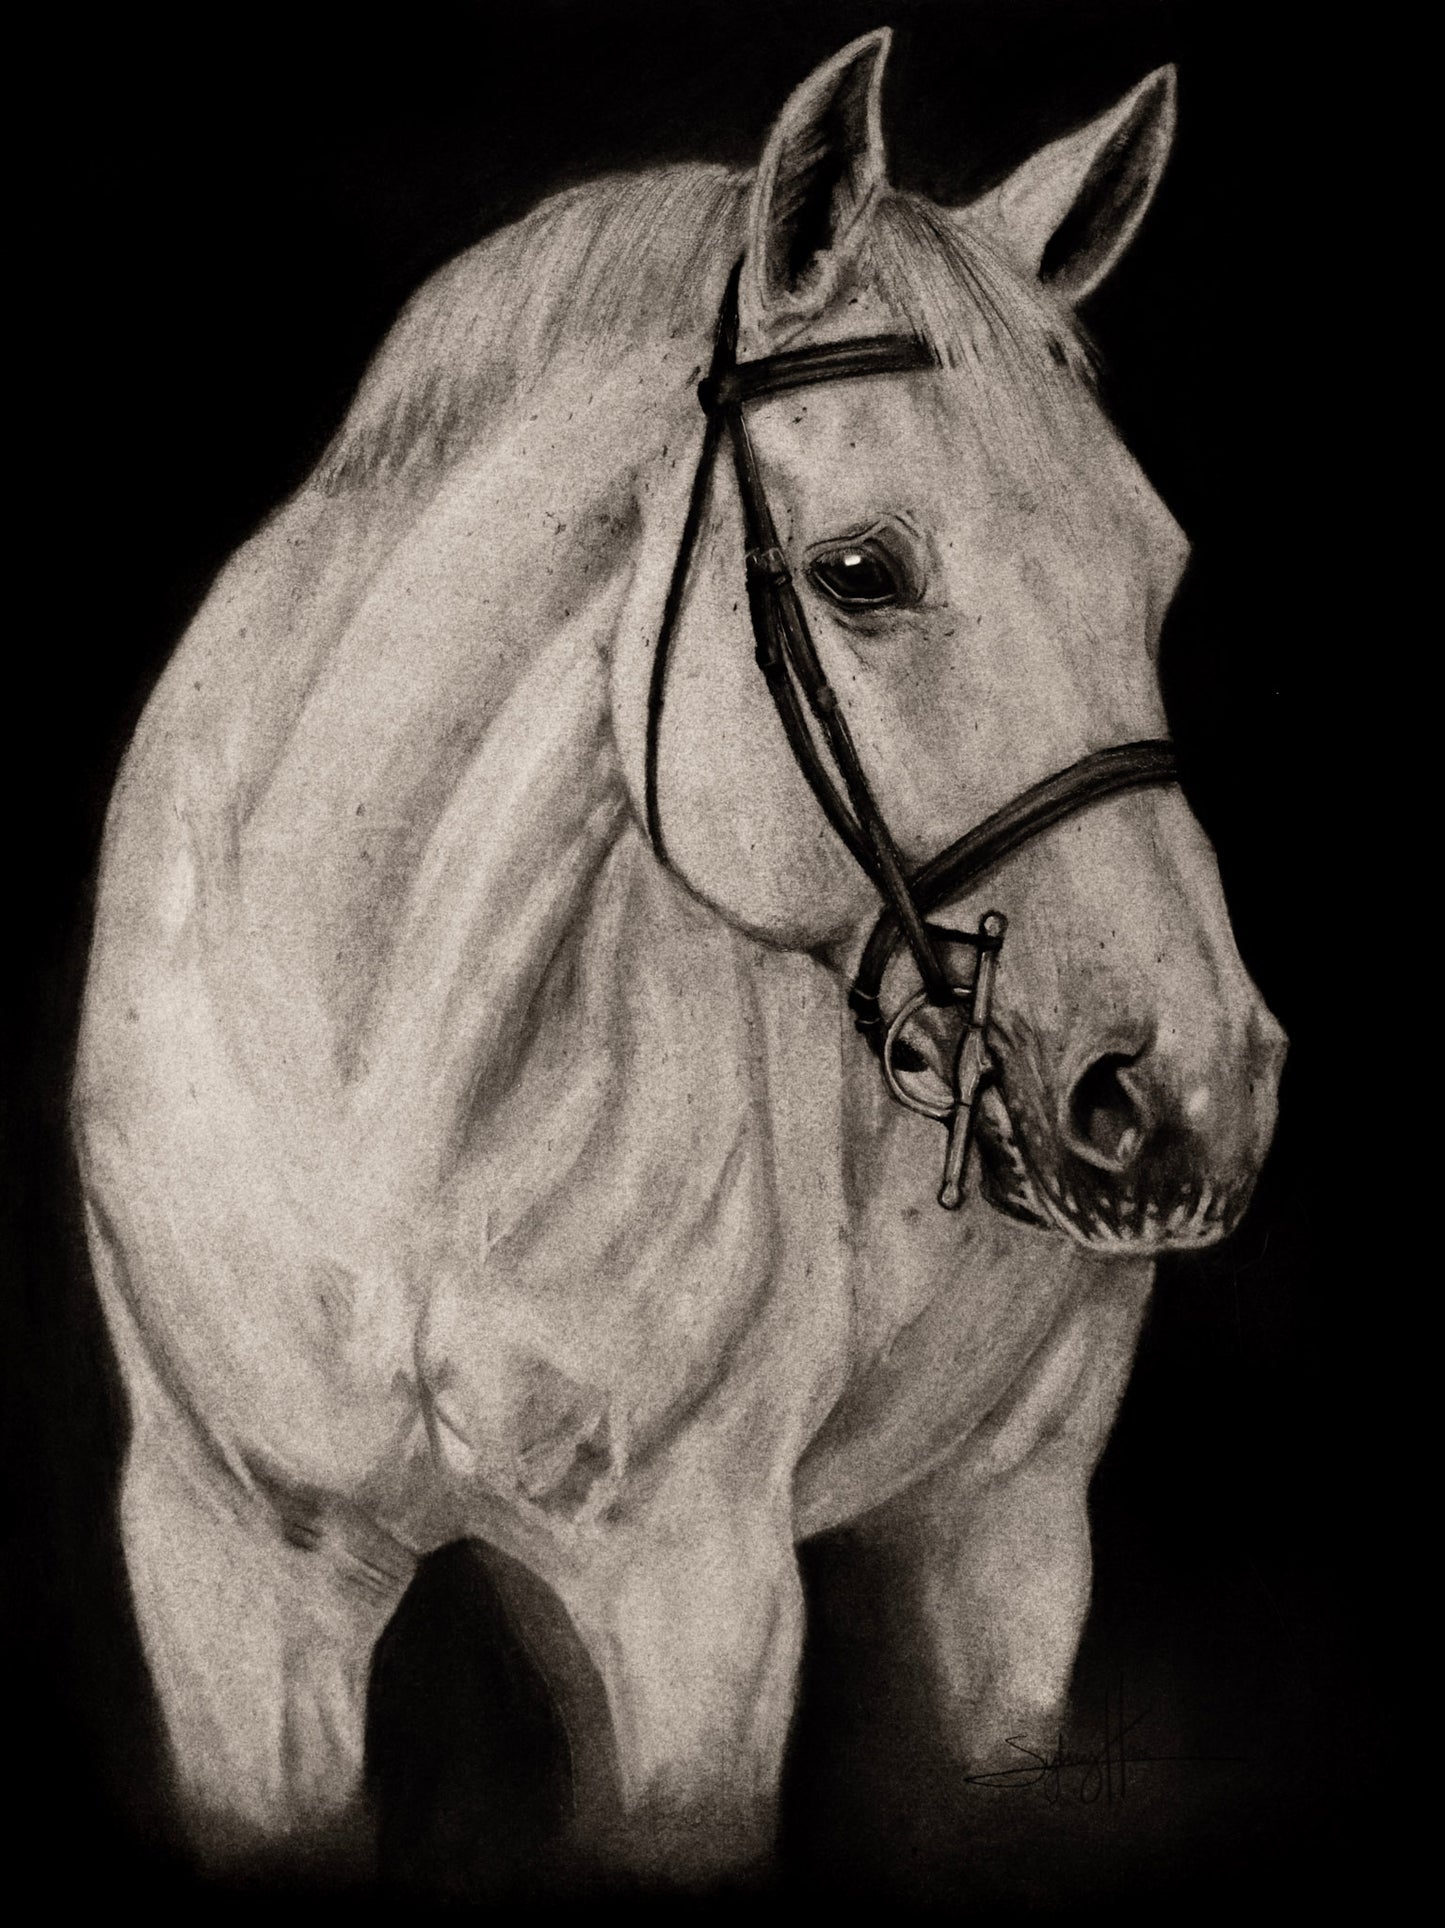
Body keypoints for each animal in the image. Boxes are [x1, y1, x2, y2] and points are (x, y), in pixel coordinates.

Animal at [71, 27, 1285, 1886]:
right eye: (862, 572)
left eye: (1157, 569)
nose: (1199, 1087)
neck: (382, 1086)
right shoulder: (231, 1575)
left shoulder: (700, 1593)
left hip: (1006, 1508)